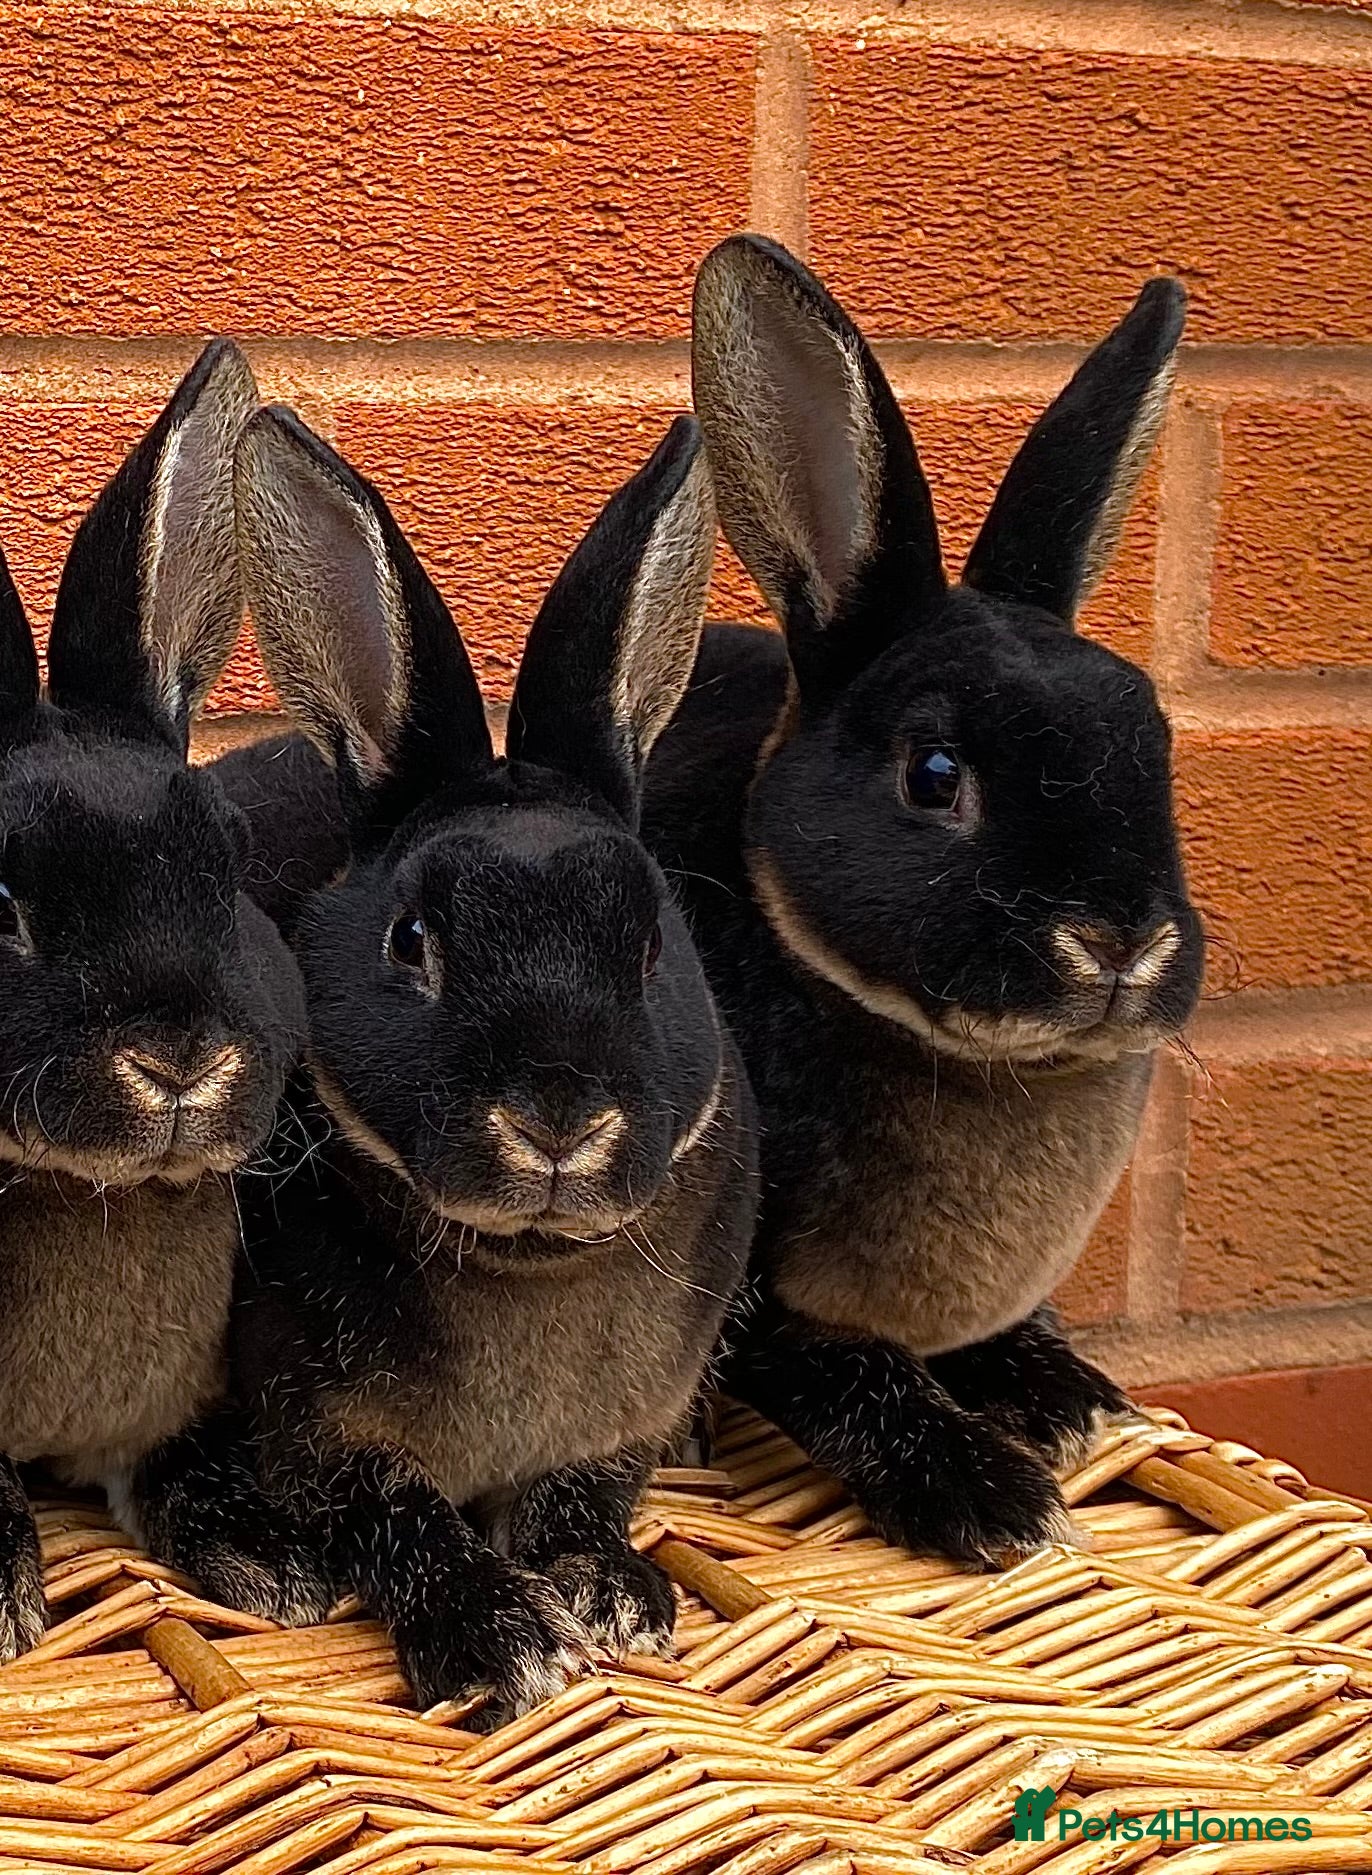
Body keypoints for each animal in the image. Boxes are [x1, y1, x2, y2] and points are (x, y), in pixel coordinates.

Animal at [226, 404, 758, 1721]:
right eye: (411, 940)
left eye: (652, 941)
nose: (557, 1113)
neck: (529, 1263)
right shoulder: (316, 1432)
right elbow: (399, 1519)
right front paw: (503, 1644)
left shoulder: (625, 1419)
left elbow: (584, 1496)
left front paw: (614, 1597)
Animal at [641, 236, 1205, 1565]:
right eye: (934, 774)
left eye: (1156, 748)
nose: (1119, 942)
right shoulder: (754, 1296)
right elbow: (842, 1379)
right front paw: (995, 1500)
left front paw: (1073, 1404)